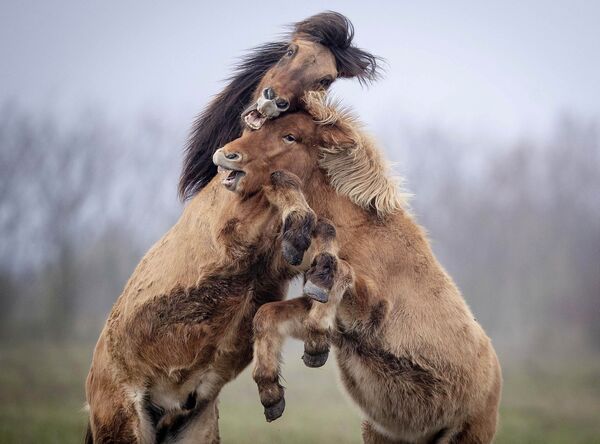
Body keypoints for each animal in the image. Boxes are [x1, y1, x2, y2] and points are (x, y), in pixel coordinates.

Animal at [216, 92, 502, 442]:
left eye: (290, 136)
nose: (226, 155)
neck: (360, 233)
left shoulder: (371, 312)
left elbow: (342, 273)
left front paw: (314, 343)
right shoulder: (335, 319)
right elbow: (266, 314)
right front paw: (272, 391)